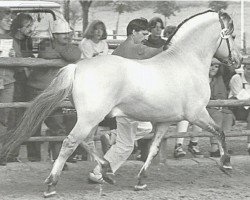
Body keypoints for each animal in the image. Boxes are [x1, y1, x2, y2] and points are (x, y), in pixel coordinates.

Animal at [0, 9, 242, 195]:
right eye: (231, 36)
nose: (238, 61)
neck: (185, 62)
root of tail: (78, 67)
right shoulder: (197, 113)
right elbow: (220, 132)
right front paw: (226, 164)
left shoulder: (165, 121)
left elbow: (154, 149)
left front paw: (141, 181)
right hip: (90, 117)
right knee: (70, 142)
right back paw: (52, 185)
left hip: (91, 118)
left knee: (86, 141)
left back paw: (106, 171)